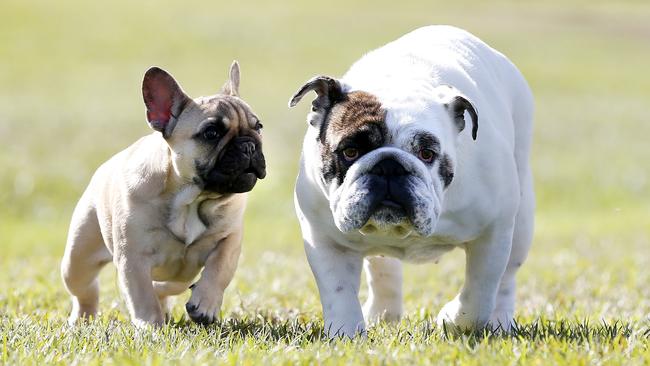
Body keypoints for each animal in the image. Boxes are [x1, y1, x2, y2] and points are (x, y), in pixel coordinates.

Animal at [60, 61, 264, 328]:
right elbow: (142, 295)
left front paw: (205, 304)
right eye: (211, 133)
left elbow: (219, 269)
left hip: (181, 272)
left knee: (168, 286)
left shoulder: (229, 239)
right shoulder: (133, 258)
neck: (192, 198)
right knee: (85, 289)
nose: (249, 145)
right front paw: (150, 326)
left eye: (258, 127)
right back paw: (83, 317)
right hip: (78, 259)